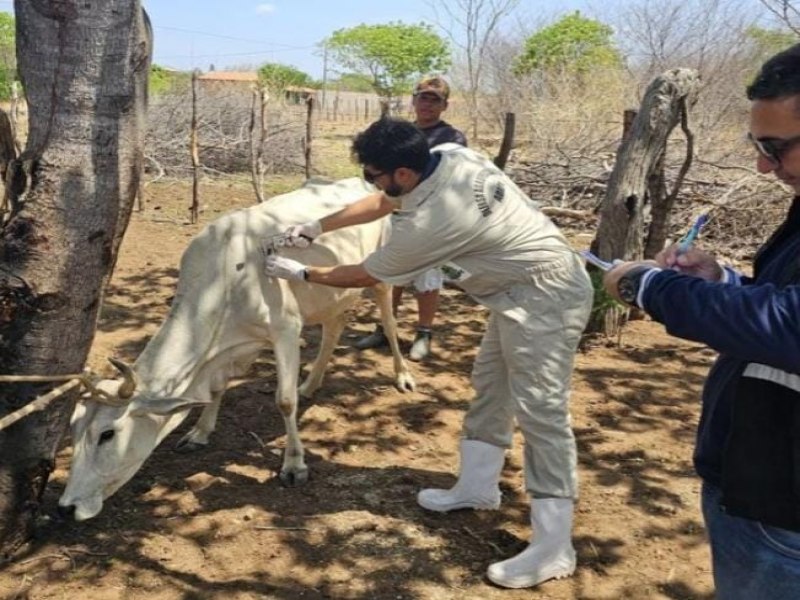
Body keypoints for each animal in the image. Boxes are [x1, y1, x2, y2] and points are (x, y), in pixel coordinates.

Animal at [59, 177, 416, 520]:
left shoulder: (286, 330)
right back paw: (311, 384)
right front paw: (200, 433)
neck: (226, 277)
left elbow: (285, 401)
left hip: (379, 274)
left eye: (108, 434)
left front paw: (294, 464)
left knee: (388, 319)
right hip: (329, 297)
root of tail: (363, 183)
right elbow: (217, 390)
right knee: (334, 327)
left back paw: (403, 376)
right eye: (73, 429)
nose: (67, 507)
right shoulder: (229, 349)